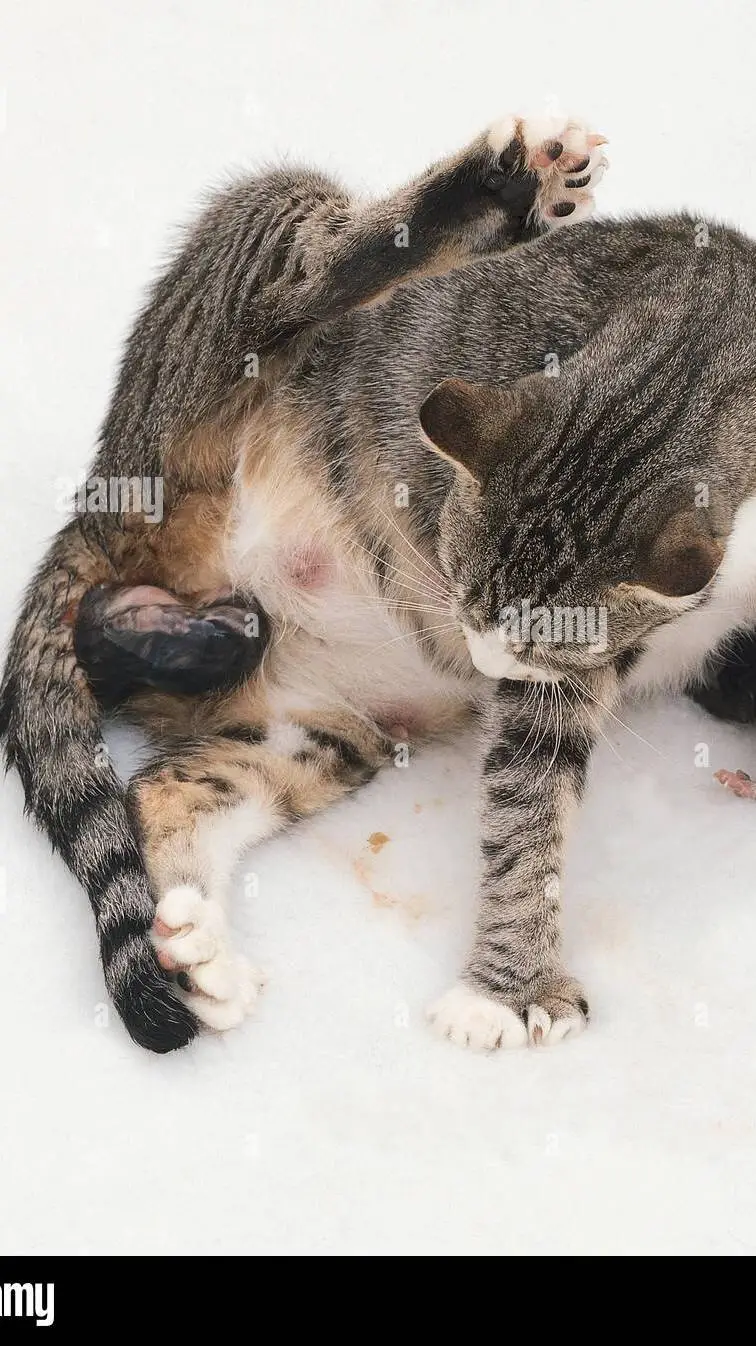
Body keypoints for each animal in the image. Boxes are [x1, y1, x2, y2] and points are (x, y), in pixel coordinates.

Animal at [2, 111, 755, 1054]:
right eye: (460, 588)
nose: (483, 657)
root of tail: (97, 498)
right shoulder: (566, 669)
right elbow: (529, 803)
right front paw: (508, 989)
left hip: (311, 724)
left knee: (170, 787)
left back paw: (196, 934)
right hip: (200, 370)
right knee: (291, 281)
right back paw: (502, 189)